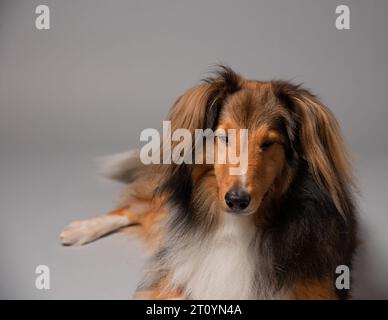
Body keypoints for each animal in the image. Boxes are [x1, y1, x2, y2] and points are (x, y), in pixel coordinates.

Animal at [59, 66, 358, 298]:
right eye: (224, 137)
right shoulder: (176, 278)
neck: (239, 228)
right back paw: (79, 229)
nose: (236, 201)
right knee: (136, 209)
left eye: (269, 143)